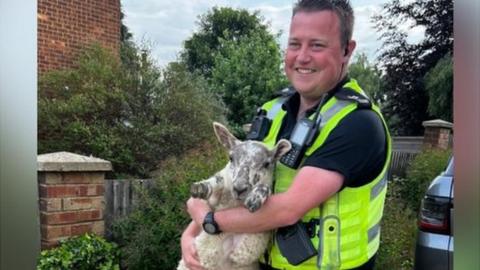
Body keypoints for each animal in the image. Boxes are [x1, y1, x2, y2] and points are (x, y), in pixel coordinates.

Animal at [176, 122, 288, 270]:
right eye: (231, 158)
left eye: (266, 164)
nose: (239, 189)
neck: (234, 203)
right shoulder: (214, 200)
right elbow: (217, 181)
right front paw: (200, 188)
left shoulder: (251, 242)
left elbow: (266, 188)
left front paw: (255, 199)